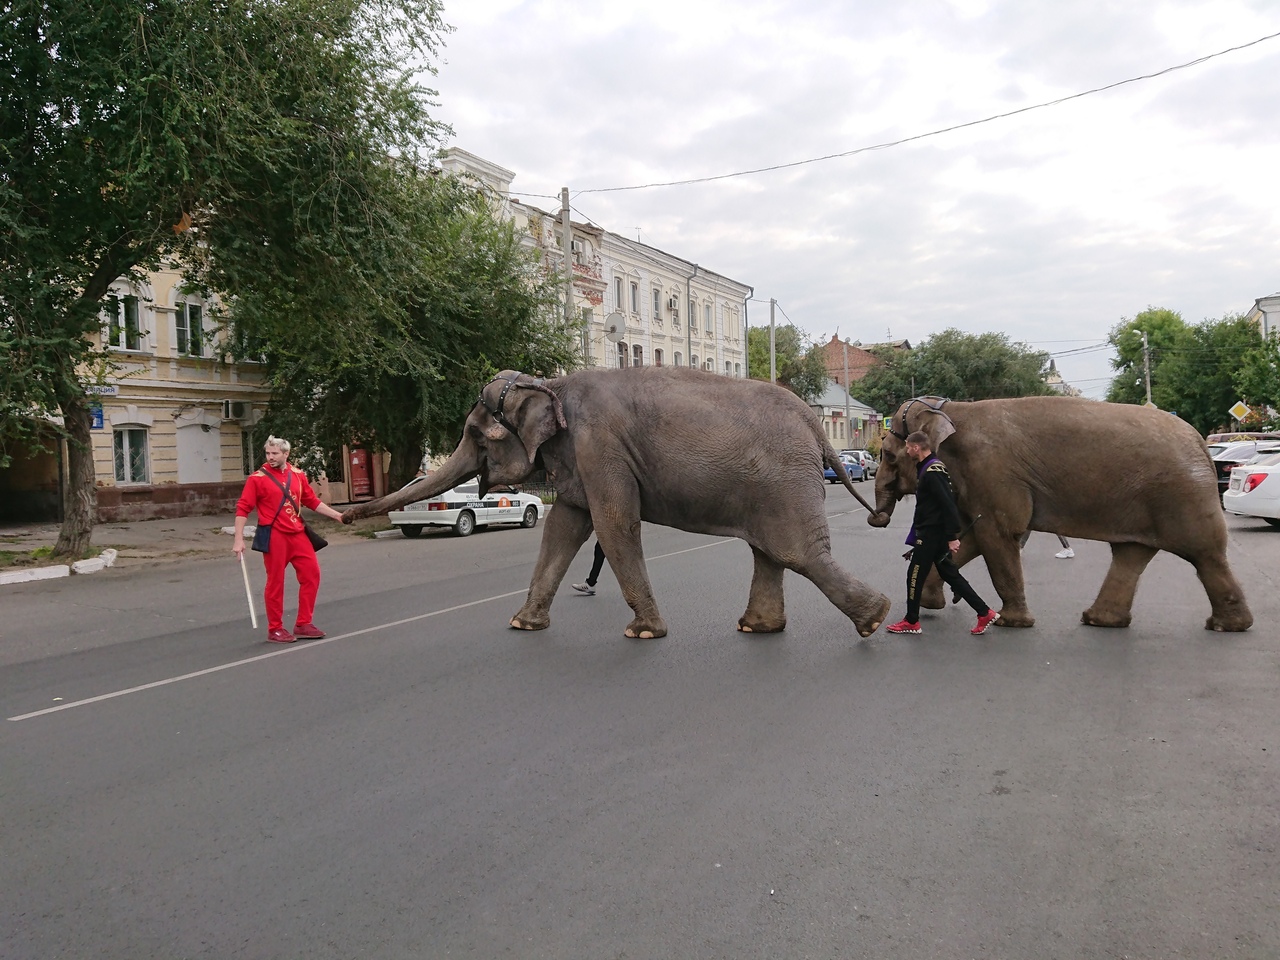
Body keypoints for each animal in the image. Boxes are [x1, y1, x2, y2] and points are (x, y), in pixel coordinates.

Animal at [345, 368, 896, 640]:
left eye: (477, 436)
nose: (345, 515)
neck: (552, 385)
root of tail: (815, 426)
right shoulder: (579, 457)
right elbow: (564, 526)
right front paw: (522, 625)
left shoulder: (598, 444)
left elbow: (613, 525)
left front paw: (644, 634)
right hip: (772, 487)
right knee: (771, 553)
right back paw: (757, 629)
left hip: (785, 484)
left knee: (798, 554)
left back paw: (875, 619)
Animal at [870, 394, 1249, 634]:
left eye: (887, 454)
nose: (877, 520)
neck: (950, 410)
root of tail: (1202, 443)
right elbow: (973, 538)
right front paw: (932, 603)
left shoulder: (992, 472)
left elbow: (997, 533)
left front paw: (1011, 623)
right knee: (1132, 554)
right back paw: (1099, 620)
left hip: (1181, 497)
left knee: (1205, 554)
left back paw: (1226, 627)